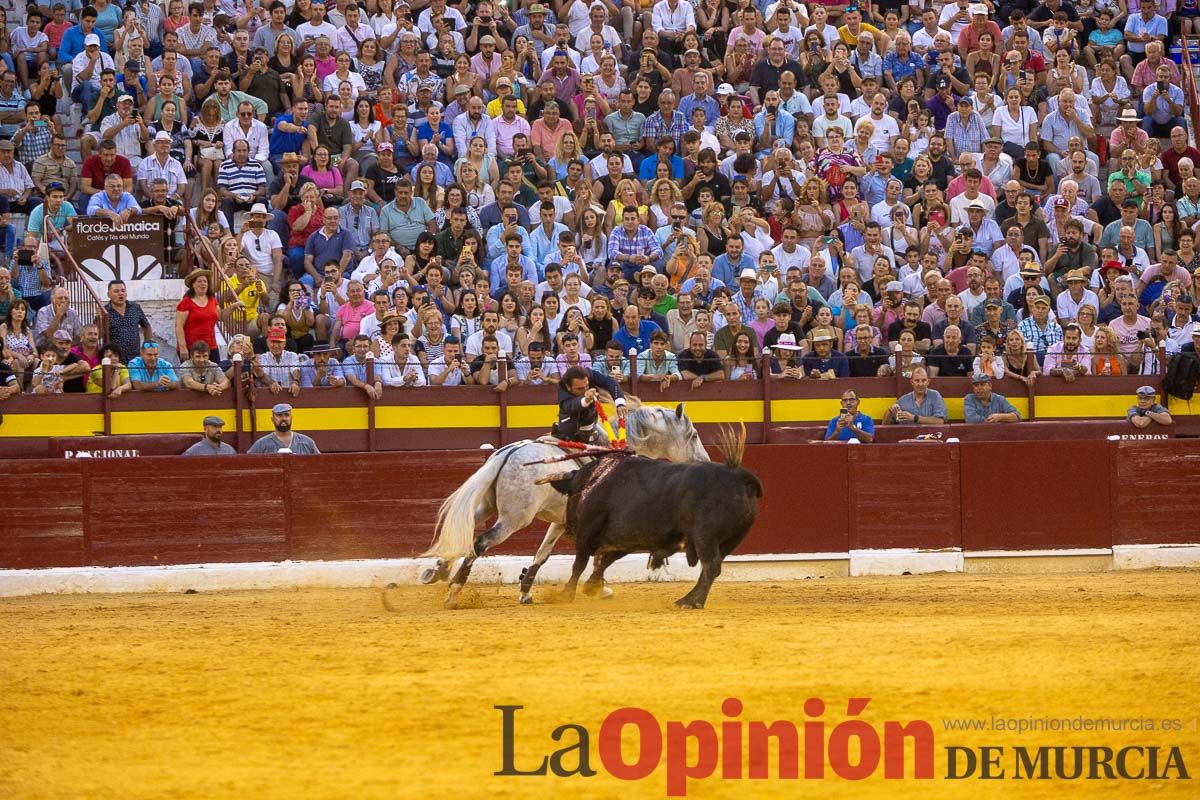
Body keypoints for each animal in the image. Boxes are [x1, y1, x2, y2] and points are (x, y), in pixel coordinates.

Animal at [420, 400, 705, 606]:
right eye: (692, 435)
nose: (703, 461)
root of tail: (508, 453)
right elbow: (595, 555)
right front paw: (598, 587)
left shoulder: (559, 521)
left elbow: (543, 553)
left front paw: (526, 591)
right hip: (514, 519)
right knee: (480, 542)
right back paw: (454, 590)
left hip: (487, 507)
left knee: (462, 531)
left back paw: (437, 570)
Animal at [547, 455, 758, 606]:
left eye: (569, 494)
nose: (568, 529)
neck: (593, 479)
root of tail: (739, 476)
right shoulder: (627, 540)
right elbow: (606, 561)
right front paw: (591, 586)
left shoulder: (586, 532)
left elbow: (579, 564)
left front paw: (566, 594)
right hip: (730, 541)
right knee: (711, 568)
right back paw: (692, 599)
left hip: (705, 537)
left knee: (711, 565)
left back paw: (690, 601)